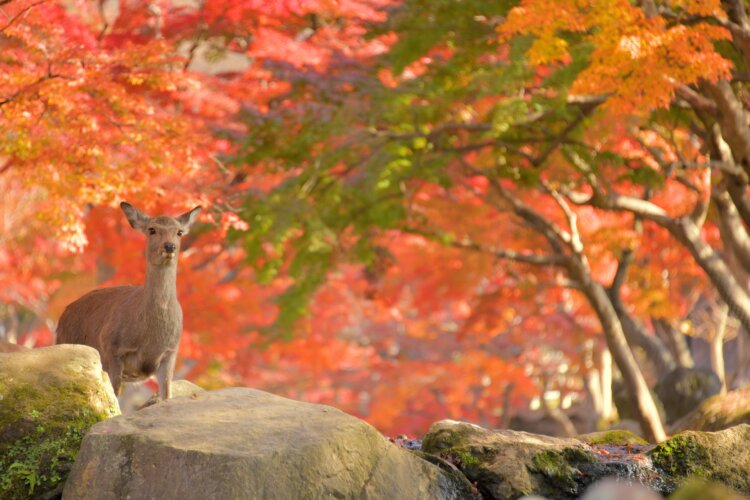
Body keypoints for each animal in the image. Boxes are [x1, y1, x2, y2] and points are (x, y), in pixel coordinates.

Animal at [56, 202, 201, 400]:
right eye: (152, 229)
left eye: (179, 232)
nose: (169, 246)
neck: (150, 337)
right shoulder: (112, 346)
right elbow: (115, 397)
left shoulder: (170, 352)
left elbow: (166, 396)